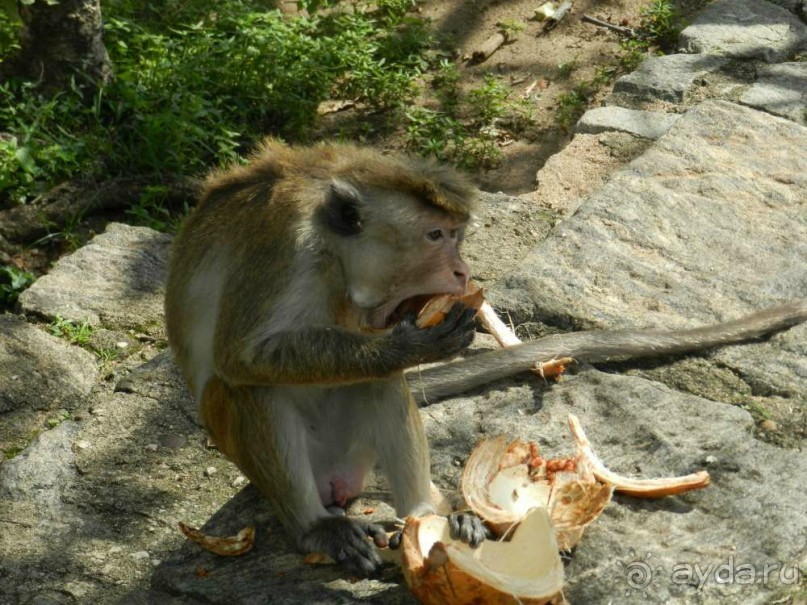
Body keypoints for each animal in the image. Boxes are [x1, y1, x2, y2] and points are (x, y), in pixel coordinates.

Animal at [166, 138, 807, 576]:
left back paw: (430, 513)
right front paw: (412, 344)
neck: (333, 256)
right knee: (247, 389)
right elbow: (242, 356)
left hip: (351, 452)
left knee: (376, 381)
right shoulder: (283, 249)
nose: (462, 272)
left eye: (457, 234)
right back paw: (317, 528)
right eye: (435, 236)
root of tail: (339, 485)